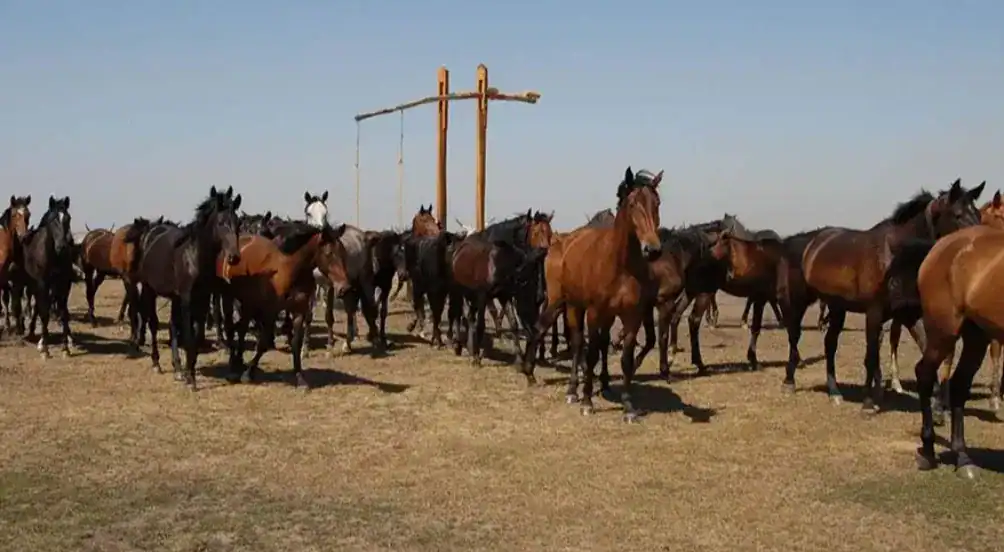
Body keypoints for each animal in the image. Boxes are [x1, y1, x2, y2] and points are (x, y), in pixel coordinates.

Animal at [21, 196, 76, 358]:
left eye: (68, 218)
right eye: (53, 220)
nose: (62, 246)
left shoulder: (63, 284)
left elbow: (64, 313)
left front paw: (65, 347)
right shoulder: (42, 284)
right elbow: (44, 313)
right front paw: (45, 348)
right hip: (33, 285)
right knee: (37, 307)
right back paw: (35, 335)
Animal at [125, 186, 243, 389]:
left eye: (237, 222)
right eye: (221, 222)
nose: (234, 257)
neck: (194, 256)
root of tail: (151, 231)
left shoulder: (202, 298)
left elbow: (195, 334)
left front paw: (188, 372)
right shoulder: (187, 298)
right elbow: (188, 335)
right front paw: (191, 379)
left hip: (174, 297)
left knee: (173, 326)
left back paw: (178, 369)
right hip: (149, 289)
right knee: (153, 323)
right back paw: (156, 363)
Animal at [522, 167, 663, 422]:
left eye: (656, 203)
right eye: (633, 204)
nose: (653, 249)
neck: (621, 266)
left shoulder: (631, 317)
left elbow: (626, 359)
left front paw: (628, 407)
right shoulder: (595, 313)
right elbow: (591, 353)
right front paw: (587, 401)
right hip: (570, 305)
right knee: (577, 343)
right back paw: (572, 390)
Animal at [777, 179, 985, 412]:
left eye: (978, 214)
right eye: (957, 214)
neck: (894, 256)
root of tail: (803, 241)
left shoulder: (908, 315)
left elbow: (925, 350)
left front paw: (938, 405)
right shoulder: (874, 313)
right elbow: (871, 356)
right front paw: (869, 402)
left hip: (837, 307)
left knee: (830, 344)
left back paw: (834, 392)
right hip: (798, 301)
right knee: (794, 336)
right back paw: (789, 383)